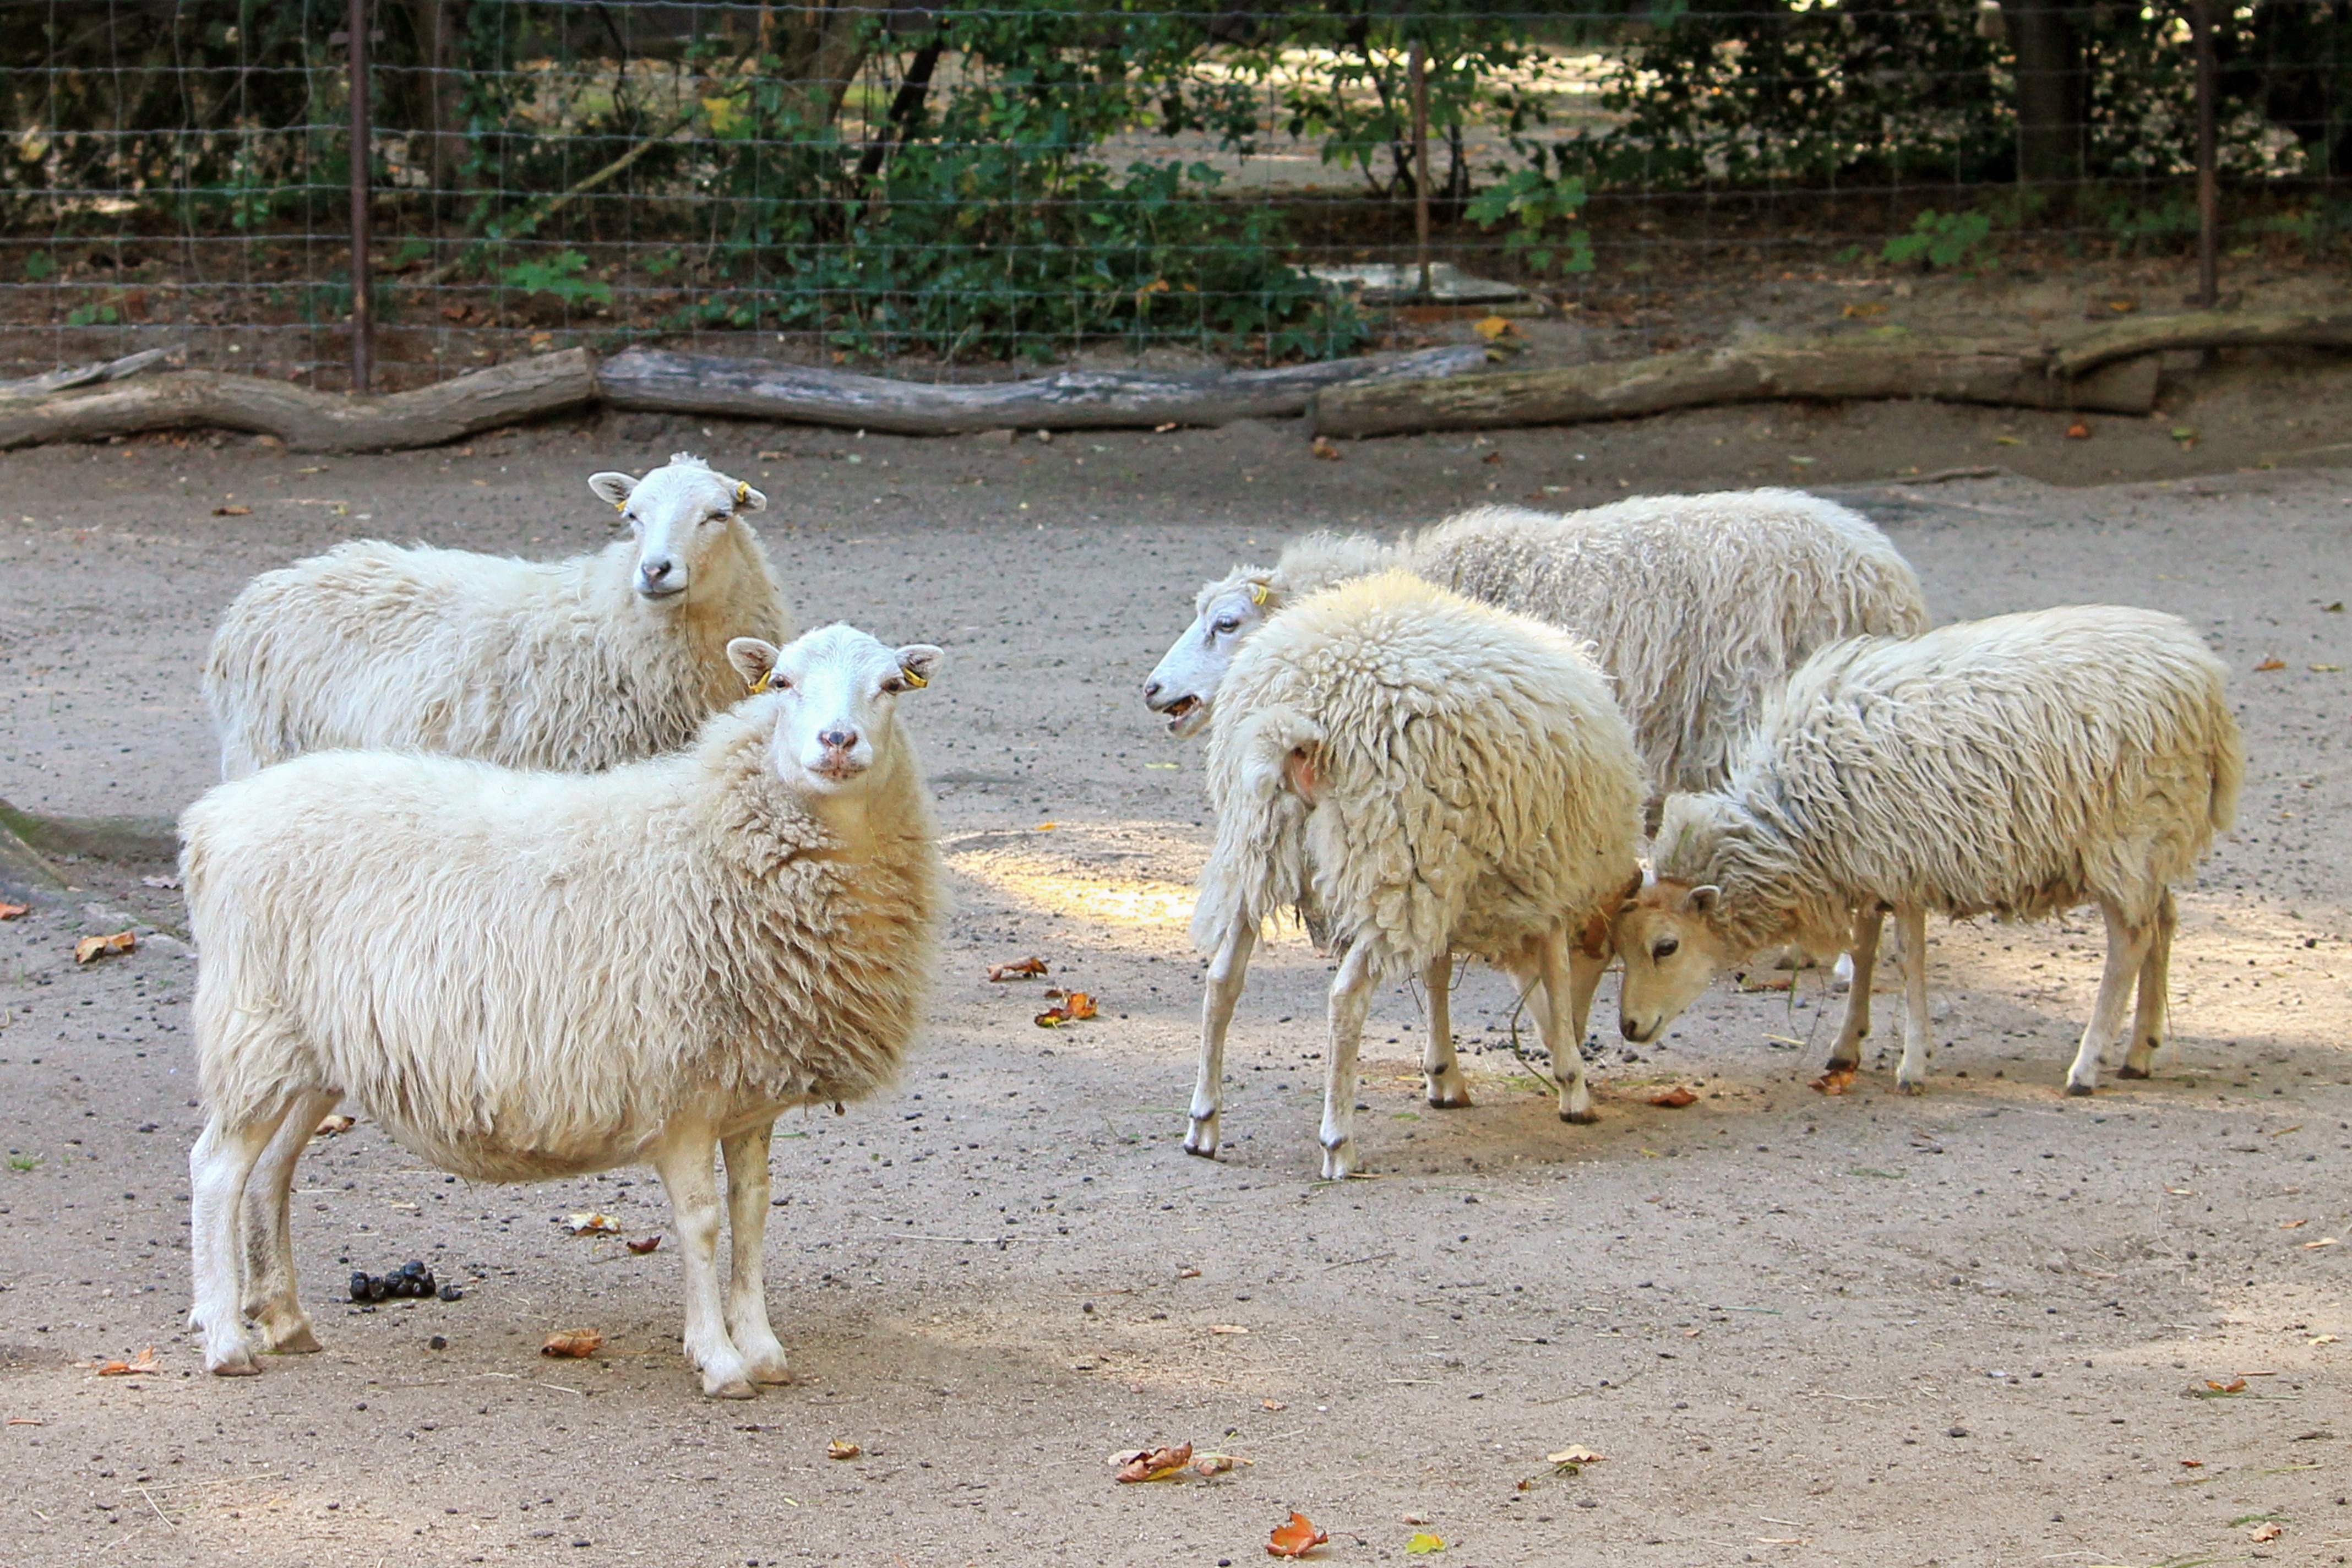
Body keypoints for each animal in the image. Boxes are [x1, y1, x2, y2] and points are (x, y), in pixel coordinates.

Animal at [181, 620, 945, 1401]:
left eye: (891, 685)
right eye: (783, 682)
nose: (838, 741)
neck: (713, 833)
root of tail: (215, 818)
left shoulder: (750, 1090)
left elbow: (753, 1212)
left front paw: (761, 1347)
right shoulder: (680, 1087)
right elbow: (702, 1224)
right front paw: (719, 1359)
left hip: (315, 1048)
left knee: (271, 1169)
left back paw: (284, 1319)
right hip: (255, 1025)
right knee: (216, 1170)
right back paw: (225, 1337)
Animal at [1185, 573, 1646, 1175]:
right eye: (1607, 956)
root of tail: (1299, 713)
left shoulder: (1446, 870)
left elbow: (1436, 971)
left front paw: (1443, 1075)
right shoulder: (1544, 881)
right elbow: (1554, 970)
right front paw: (1573, 1086)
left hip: (1260, 847)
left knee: (1222, 981)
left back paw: (1203, 1123)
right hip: (1388, 852)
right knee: (1345, 998)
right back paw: (1338, 1142)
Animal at [1618, 606, 2239, 1100]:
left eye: (1666, 946)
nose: (1629, 1027)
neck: (1796, 822)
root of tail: (2205, 680)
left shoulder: (1904, 860)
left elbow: (1908, 959)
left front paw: (1913, 1064)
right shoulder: (1866, 862)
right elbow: (1866, 950)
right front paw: (1846, 1045)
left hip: (2123, 836)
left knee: (2129, 941)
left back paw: (2086, 1066)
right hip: (2156, 835)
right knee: (2163, 921)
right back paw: (2141, 1050)